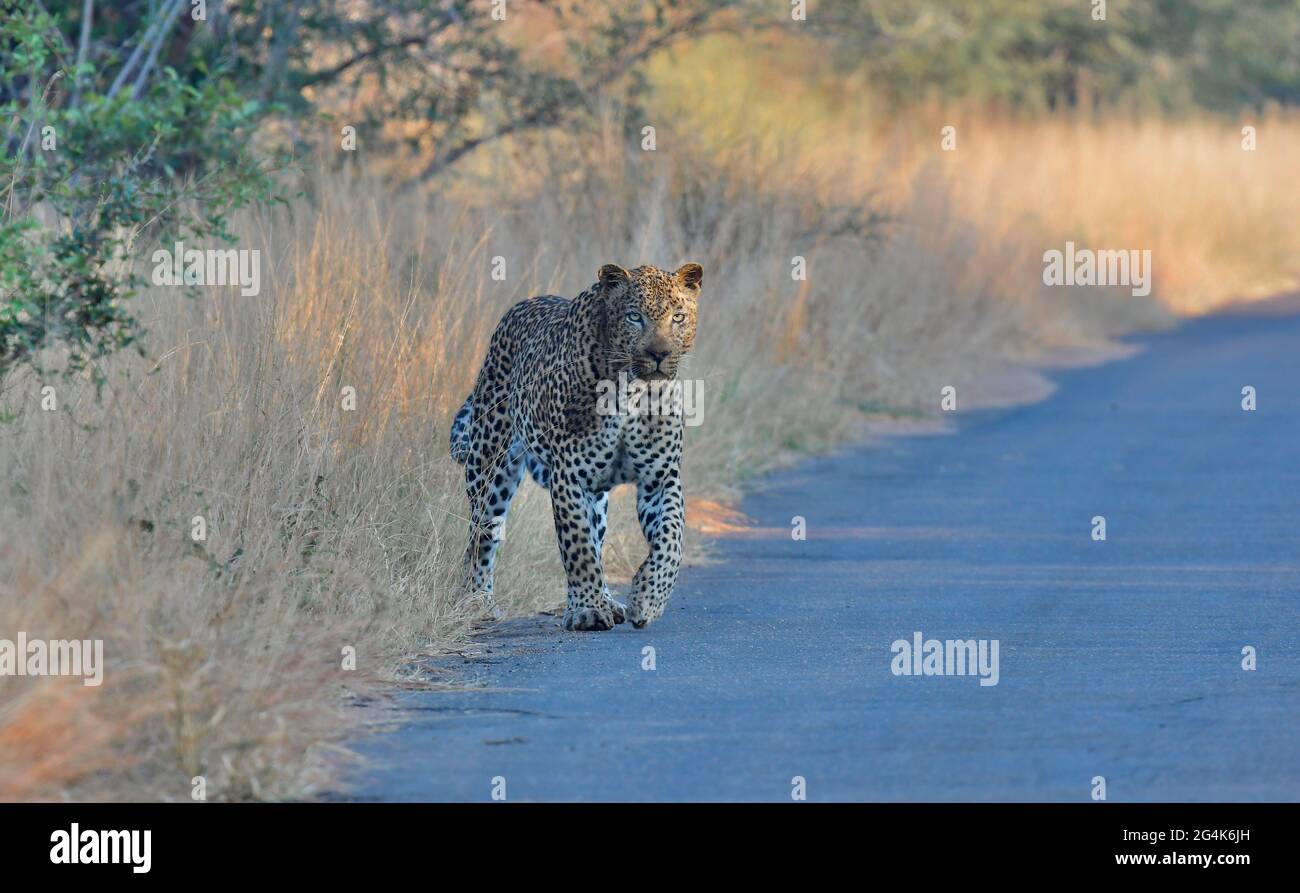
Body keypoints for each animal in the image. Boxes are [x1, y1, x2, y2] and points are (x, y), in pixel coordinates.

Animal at [452, 262, 707, 631]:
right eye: (634, 317)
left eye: (678, 317)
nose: (658, 354)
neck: (633, 389)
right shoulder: (569, 476)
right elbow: (579, 547)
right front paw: (588, 610)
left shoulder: (660, 477)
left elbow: (671, 540)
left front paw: (647, 599)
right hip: (490, 466)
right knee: (480, 534)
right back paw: (476, 601)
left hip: (596, 493)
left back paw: (610, 600)